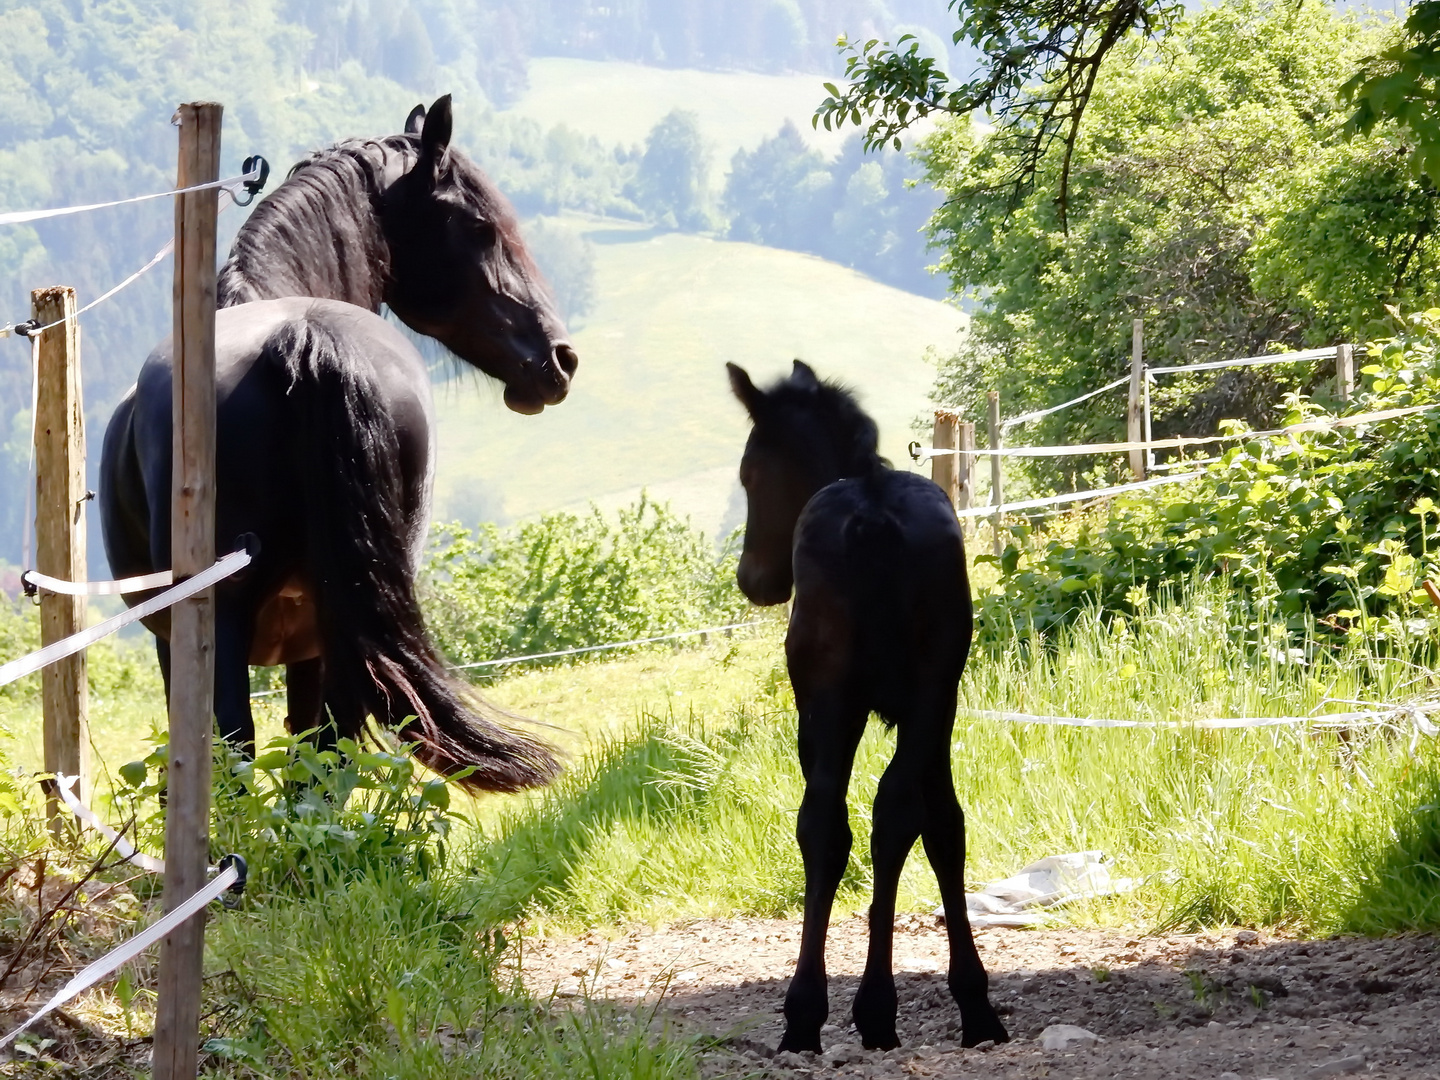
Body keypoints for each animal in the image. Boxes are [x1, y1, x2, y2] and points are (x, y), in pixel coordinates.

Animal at [725, 360, 1008, 1054]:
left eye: (750, 472)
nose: (754, 580)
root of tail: (875, 514)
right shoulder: (937, 716)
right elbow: (944, 825)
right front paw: (973, 1000)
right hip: (930, 695)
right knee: (897, 813)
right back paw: (881, 1006)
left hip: (831, 705)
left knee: (829, 821)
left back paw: (822, 1011)